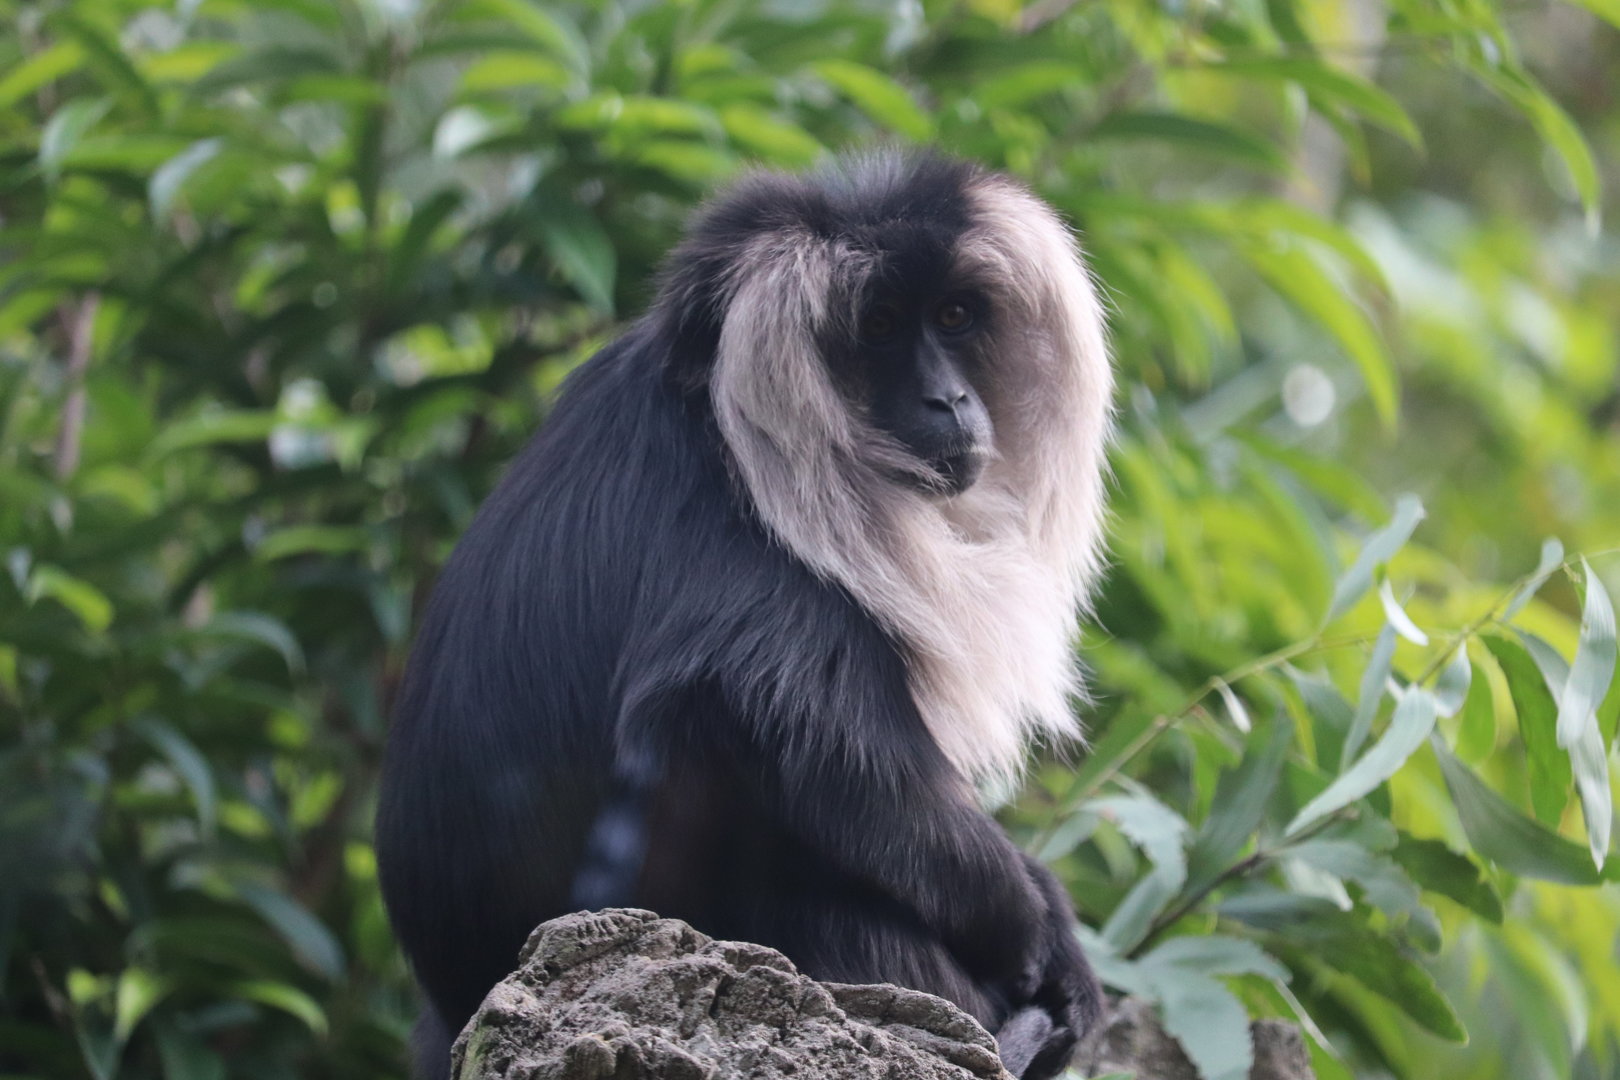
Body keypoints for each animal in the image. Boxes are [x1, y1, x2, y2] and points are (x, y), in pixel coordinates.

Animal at [375, 151, 1113, 1080]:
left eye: (952, 316)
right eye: (877, 328)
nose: (949, 400)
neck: (718, 417)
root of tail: (459, 997)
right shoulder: (743, 545)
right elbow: (812, 742)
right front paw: (1035, 925)